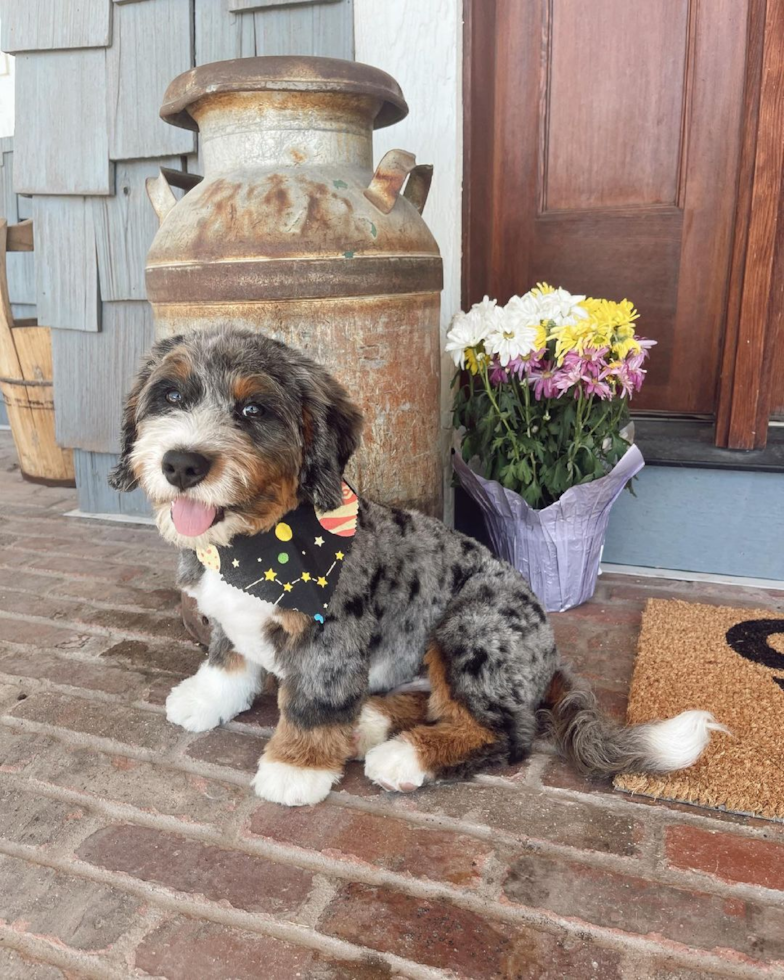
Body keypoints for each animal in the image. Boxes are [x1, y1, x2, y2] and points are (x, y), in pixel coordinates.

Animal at [110, 326, 724, 808]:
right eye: (170, 395)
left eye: (252, 409)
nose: (182, 463)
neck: (256, 543)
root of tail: (548, 652)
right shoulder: (230, 624)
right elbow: (228, 663)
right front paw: (203, 700)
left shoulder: (330, 642)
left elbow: (312, 705)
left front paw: (295, 768)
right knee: (430, 699)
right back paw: (368, 723)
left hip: (470, 629)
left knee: (505, 733)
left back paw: (402, 758)